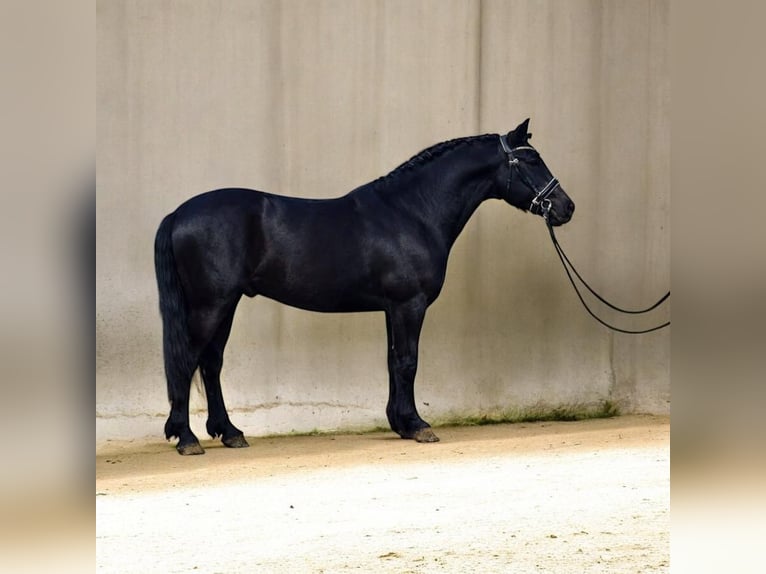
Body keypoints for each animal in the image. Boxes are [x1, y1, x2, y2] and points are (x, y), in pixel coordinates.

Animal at [154, 118, 574, 455]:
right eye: (532, 161)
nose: (566, 207)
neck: (412, 212)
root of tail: (178, 214)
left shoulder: (392, 308)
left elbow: (393, 361)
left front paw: (401, 423)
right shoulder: (409, 305)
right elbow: (408, 361)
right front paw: (418, 426)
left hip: (226, 304)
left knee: (210, 363)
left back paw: (229, 433)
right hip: (211, 304)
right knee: (187, 360)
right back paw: (187, 438)